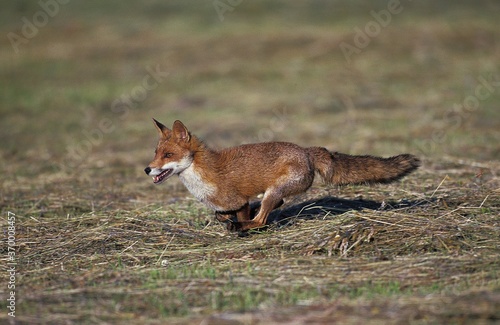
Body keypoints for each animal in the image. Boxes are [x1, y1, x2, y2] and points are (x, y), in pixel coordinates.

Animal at [146, 119, 422, 230]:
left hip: (273, 190)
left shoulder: (240, 200)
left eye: (168, 155)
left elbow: (240, 214)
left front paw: (238, 227)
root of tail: (307, 150)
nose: (147, 169)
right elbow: (219, 214)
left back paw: (244, 227)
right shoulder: (226, 204)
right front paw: (227, 221)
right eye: (156, 153)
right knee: (273, 207)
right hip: (275, 191)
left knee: (261, 219)